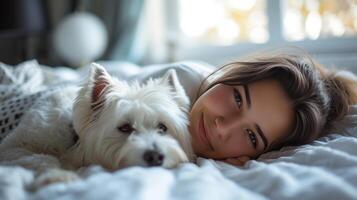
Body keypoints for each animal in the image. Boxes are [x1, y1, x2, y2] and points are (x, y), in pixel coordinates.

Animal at [0, 63, 193, 188]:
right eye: (125, 128)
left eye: (162, 127)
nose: (156, 157)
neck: (73, 137)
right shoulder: (12, 148)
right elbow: (43, 158)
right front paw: (58, 176)